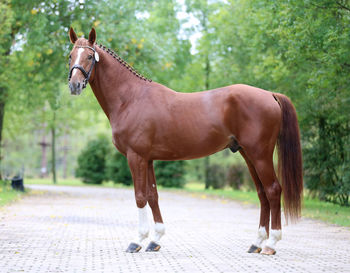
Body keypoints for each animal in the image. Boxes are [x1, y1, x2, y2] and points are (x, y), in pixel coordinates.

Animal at [68, 27, 304, 253]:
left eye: (89, 56)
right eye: (70, 55)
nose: (74, 85)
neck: (131, 98)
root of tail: (270, 95)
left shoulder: (136, 157)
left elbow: (140, 197)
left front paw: (137, 241)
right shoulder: (148, 159)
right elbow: (153, 195)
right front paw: (155, 240)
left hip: (260, 155)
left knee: (273, 190)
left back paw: (271, 244)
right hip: (248, 155)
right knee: (262, 193)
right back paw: (256, 243)